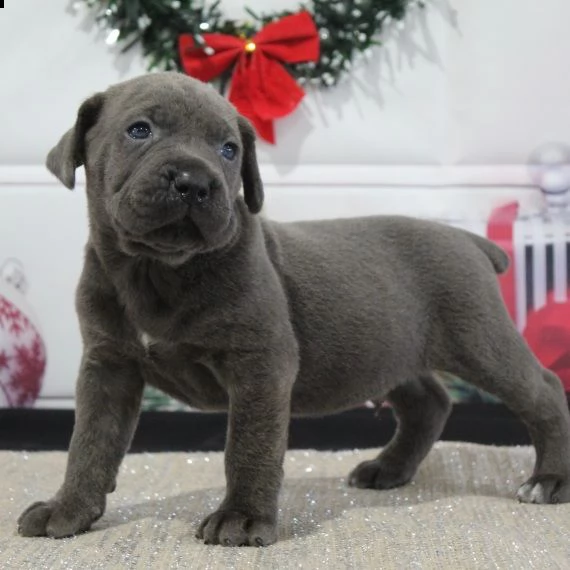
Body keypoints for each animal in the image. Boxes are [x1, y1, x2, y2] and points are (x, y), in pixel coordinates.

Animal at [17, 72, 568, 544]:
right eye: (139, 130)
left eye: (229, 149)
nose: (195, 181)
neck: (158, 270)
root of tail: (467, 239)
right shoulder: (109, 367)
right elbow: (90, 443)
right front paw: (69, 509)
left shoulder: (260, 363)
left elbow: (249, 445)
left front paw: (241, 518)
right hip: (391, 347)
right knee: (427, 401)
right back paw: (388, 468)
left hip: (478, 338)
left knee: (542, 389)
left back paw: (550, 479)